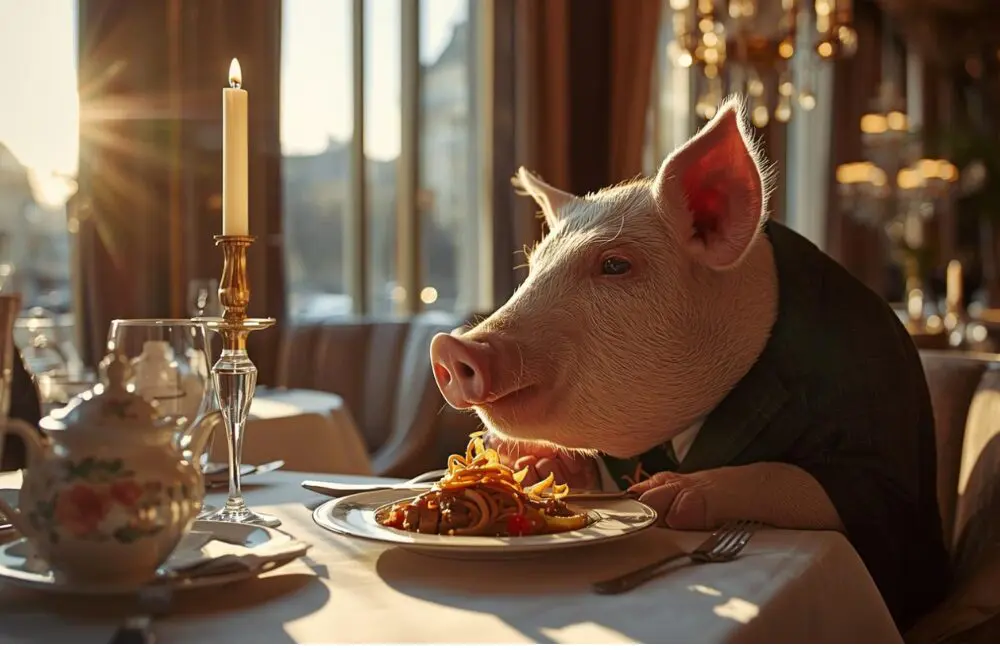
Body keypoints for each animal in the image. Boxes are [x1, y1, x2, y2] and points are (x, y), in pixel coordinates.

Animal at [429, 95, 949, 632]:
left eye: (615, 264)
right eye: (533, 268)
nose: (450, 346)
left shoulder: (880, 446)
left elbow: (814, 479)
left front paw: (660, 498)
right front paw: (534, 464)